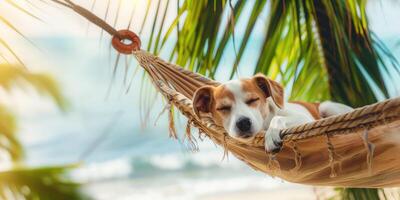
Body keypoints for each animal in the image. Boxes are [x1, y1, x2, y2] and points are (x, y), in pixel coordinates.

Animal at [192, 73, 352, 153]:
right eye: (223, 108)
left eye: (253, 100)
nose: (243, 123)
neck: (265, 121)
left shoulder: (305, 119)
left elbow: (278, 118)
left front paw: (271, 135)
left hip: (327, 107)